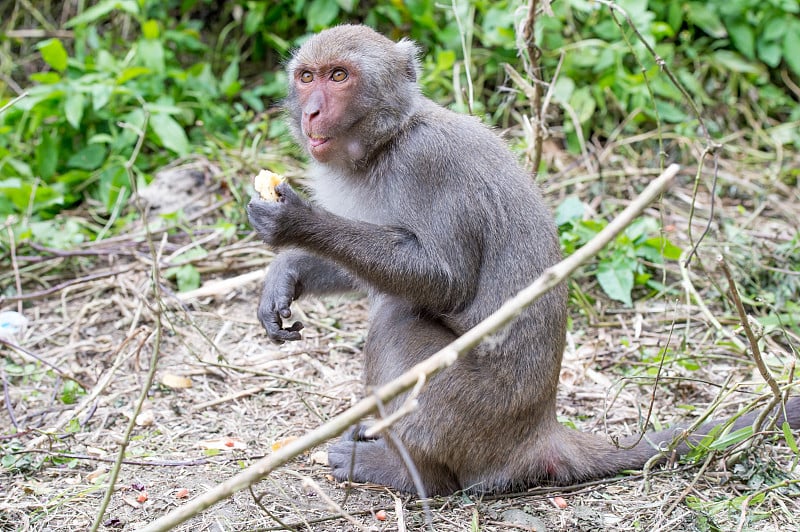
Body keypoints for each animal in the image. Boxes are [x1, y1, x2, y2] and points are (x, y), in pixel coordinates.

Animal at [247, 23, 796, 490]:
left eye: (339, 76)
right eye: (307, 77)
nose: (311, 112)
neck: (387, 143)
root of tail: (539, 430)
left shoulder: (429, 165)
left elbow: (443, 279)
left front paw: (297, 222)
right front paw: (286, 274)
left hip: (475, 414)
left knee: (397, 322)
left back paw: (411, 473)